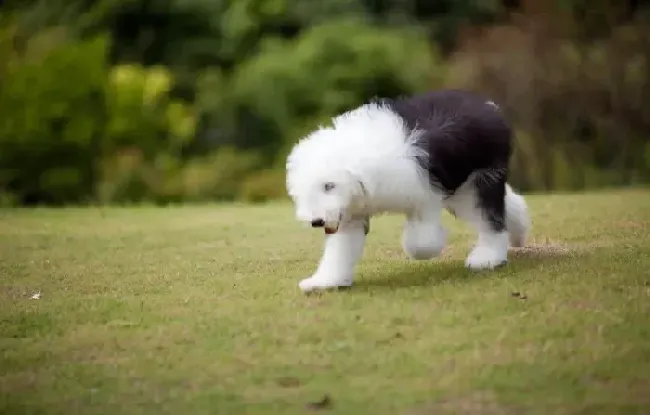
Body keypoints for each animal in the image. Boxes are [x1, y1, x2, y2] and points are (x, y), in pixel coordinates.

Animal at [286, 90, 528, 294]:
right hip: (464, 188)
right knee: (508, 205)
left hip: (479, 182)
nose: (316, 221)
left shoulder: (426, 196)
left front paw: (424, 249)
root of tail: (488, 107)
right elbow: (340, 250)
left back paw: (487, 258)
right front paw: (325, 281)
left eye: (329, 185)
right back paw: (518, 232)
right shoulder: (350, 213)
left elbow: (421, 242)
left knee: (490, 220)